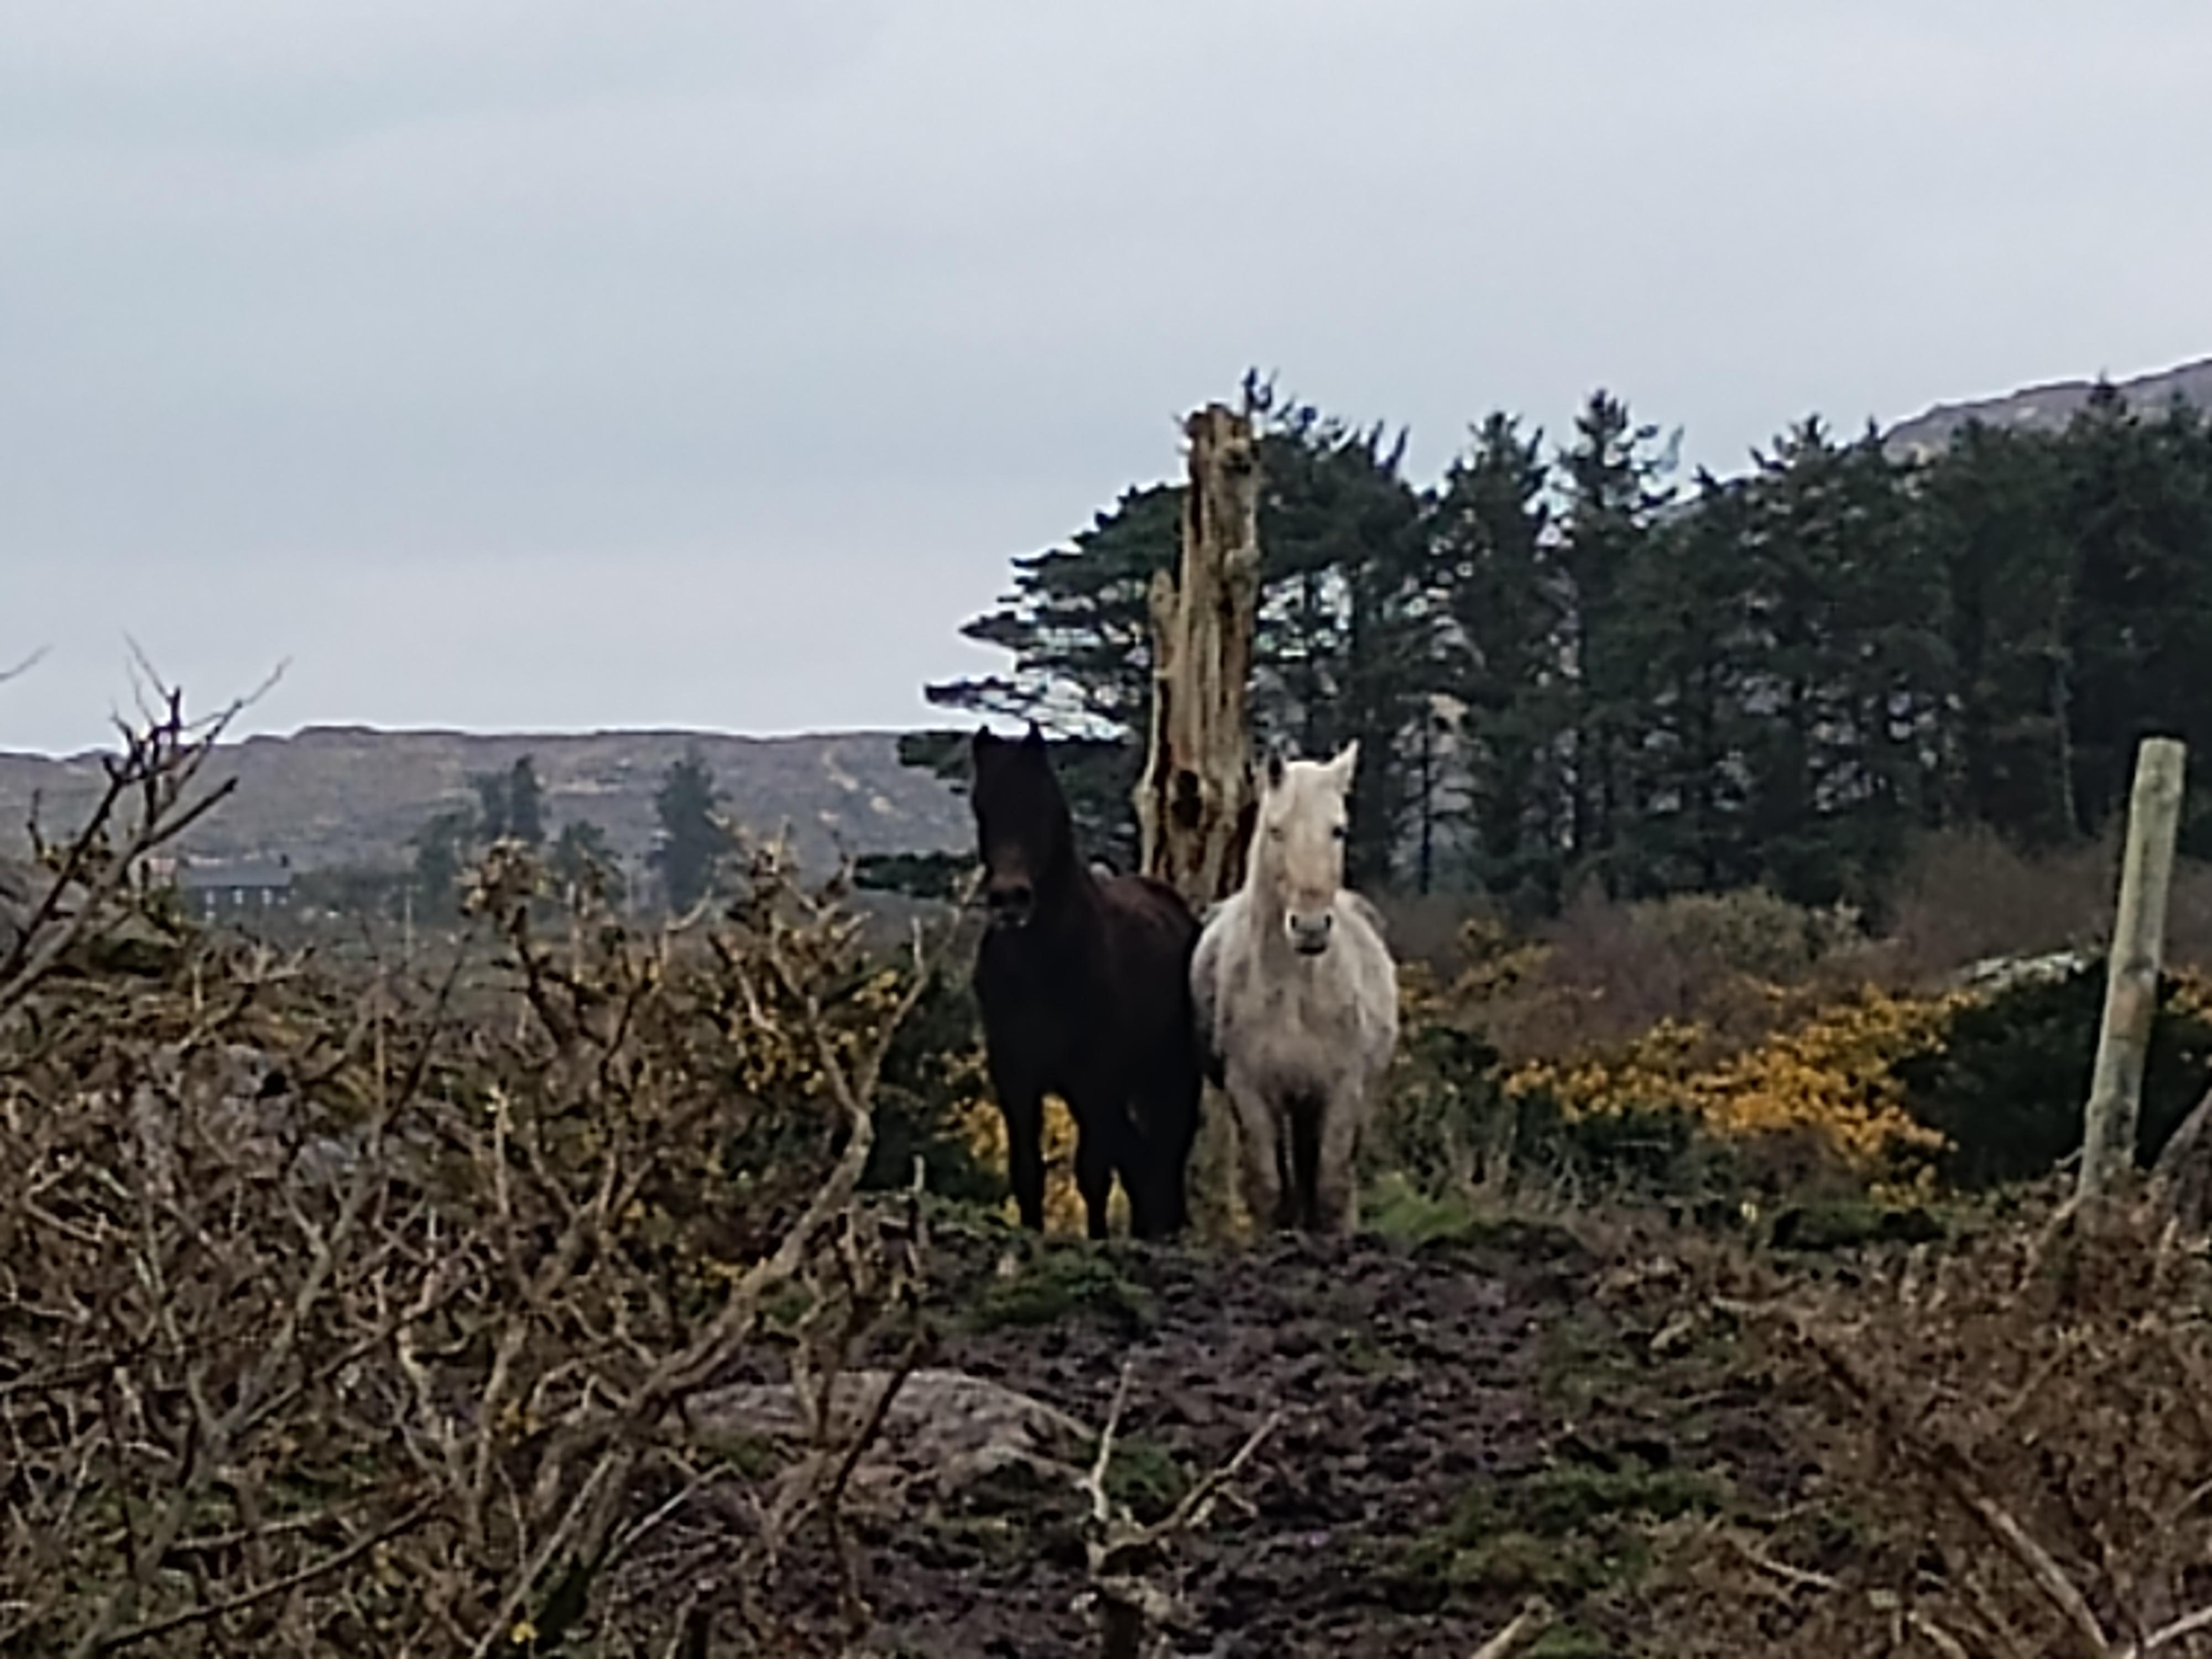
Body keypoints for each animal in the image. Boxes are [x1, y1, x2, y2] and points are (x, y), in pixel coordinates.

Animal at [966, 724, 1205, 1240]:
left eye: (1043, 806)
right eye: (983, 808)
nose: (1010, 898)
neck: (1041, 965)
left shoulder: (1096, 1079)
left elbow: (1093, 1174)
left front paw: (1098, 1241)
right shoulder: (1017, 1078)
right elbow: (1027, 1170)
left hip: (1168, 1077)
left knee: (1166, 1157)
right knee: (1142, 1162)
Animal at [1190, 741, 1400, 1236]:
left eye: (1338, 829)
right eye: (1276, 830)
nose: (1309, 927)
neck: (1295, 993)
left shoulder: (1341, 1089)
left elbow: (1331, 1187)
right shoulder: (1251, 1091)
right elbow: (1270, 1188)